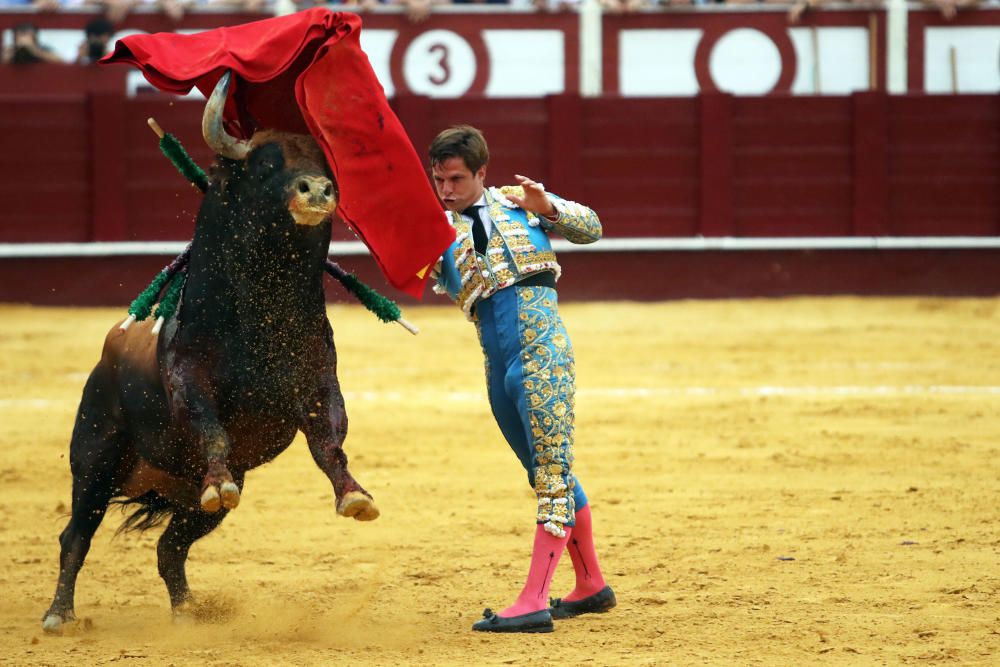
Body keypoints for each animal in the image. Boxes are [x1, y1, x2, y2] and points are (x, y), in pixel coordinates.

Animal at [42, 70, 378, 636]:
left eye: (324, 165)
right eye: (266, 167)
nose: (317, 190)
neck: (263, 317)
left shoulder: (317, 383)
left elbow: (330, 442)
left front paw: (355, 494)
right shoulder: (189, 380)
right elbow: (211, 427)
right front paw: (218, 479)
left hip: (191, 502)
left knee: (169, 548)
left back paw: (186, 612)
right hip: (95, 456)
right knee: (77, 535)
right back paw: (58, 615)